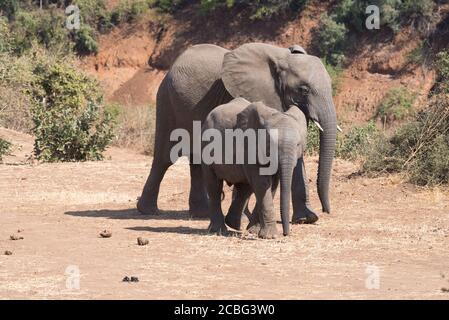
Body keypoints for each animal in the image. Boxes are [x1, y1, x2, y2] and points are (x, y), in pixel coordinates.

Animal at [136, 42, 336, 222]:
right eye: (304, 90)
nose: (326, 210)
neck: (282, 58)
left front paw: (307, 219)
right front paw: (244, 220)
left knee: (197, 159)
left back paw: (201, 214)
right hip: (167, 102)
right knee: (165, 157)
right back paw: (148, 211)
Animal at [201, 97, 306, 238]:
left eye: (298, 145)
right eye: (270, 144)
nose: (286, 234)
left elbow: (272, 186)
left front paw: (255, 232)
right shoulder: (249, 147)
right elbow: (262, 183)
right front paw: (270, 236)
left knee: (244, 188)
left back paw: (233, 225)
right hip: (205, 148)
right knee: (214, 187)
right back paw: (219, 230)